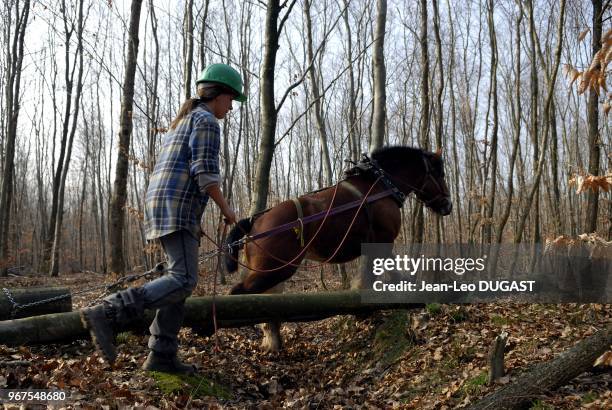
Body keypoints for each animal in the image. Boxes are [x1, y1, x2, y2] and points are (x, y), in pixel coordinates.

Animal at [226, 146, 454, 350]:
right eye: (439, 173)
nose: (448, 205)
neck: (381, 186)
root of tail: (254, 223)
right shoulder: (383, 241)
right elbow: (380, 273)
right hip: (274, 270)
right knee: (237, 294)